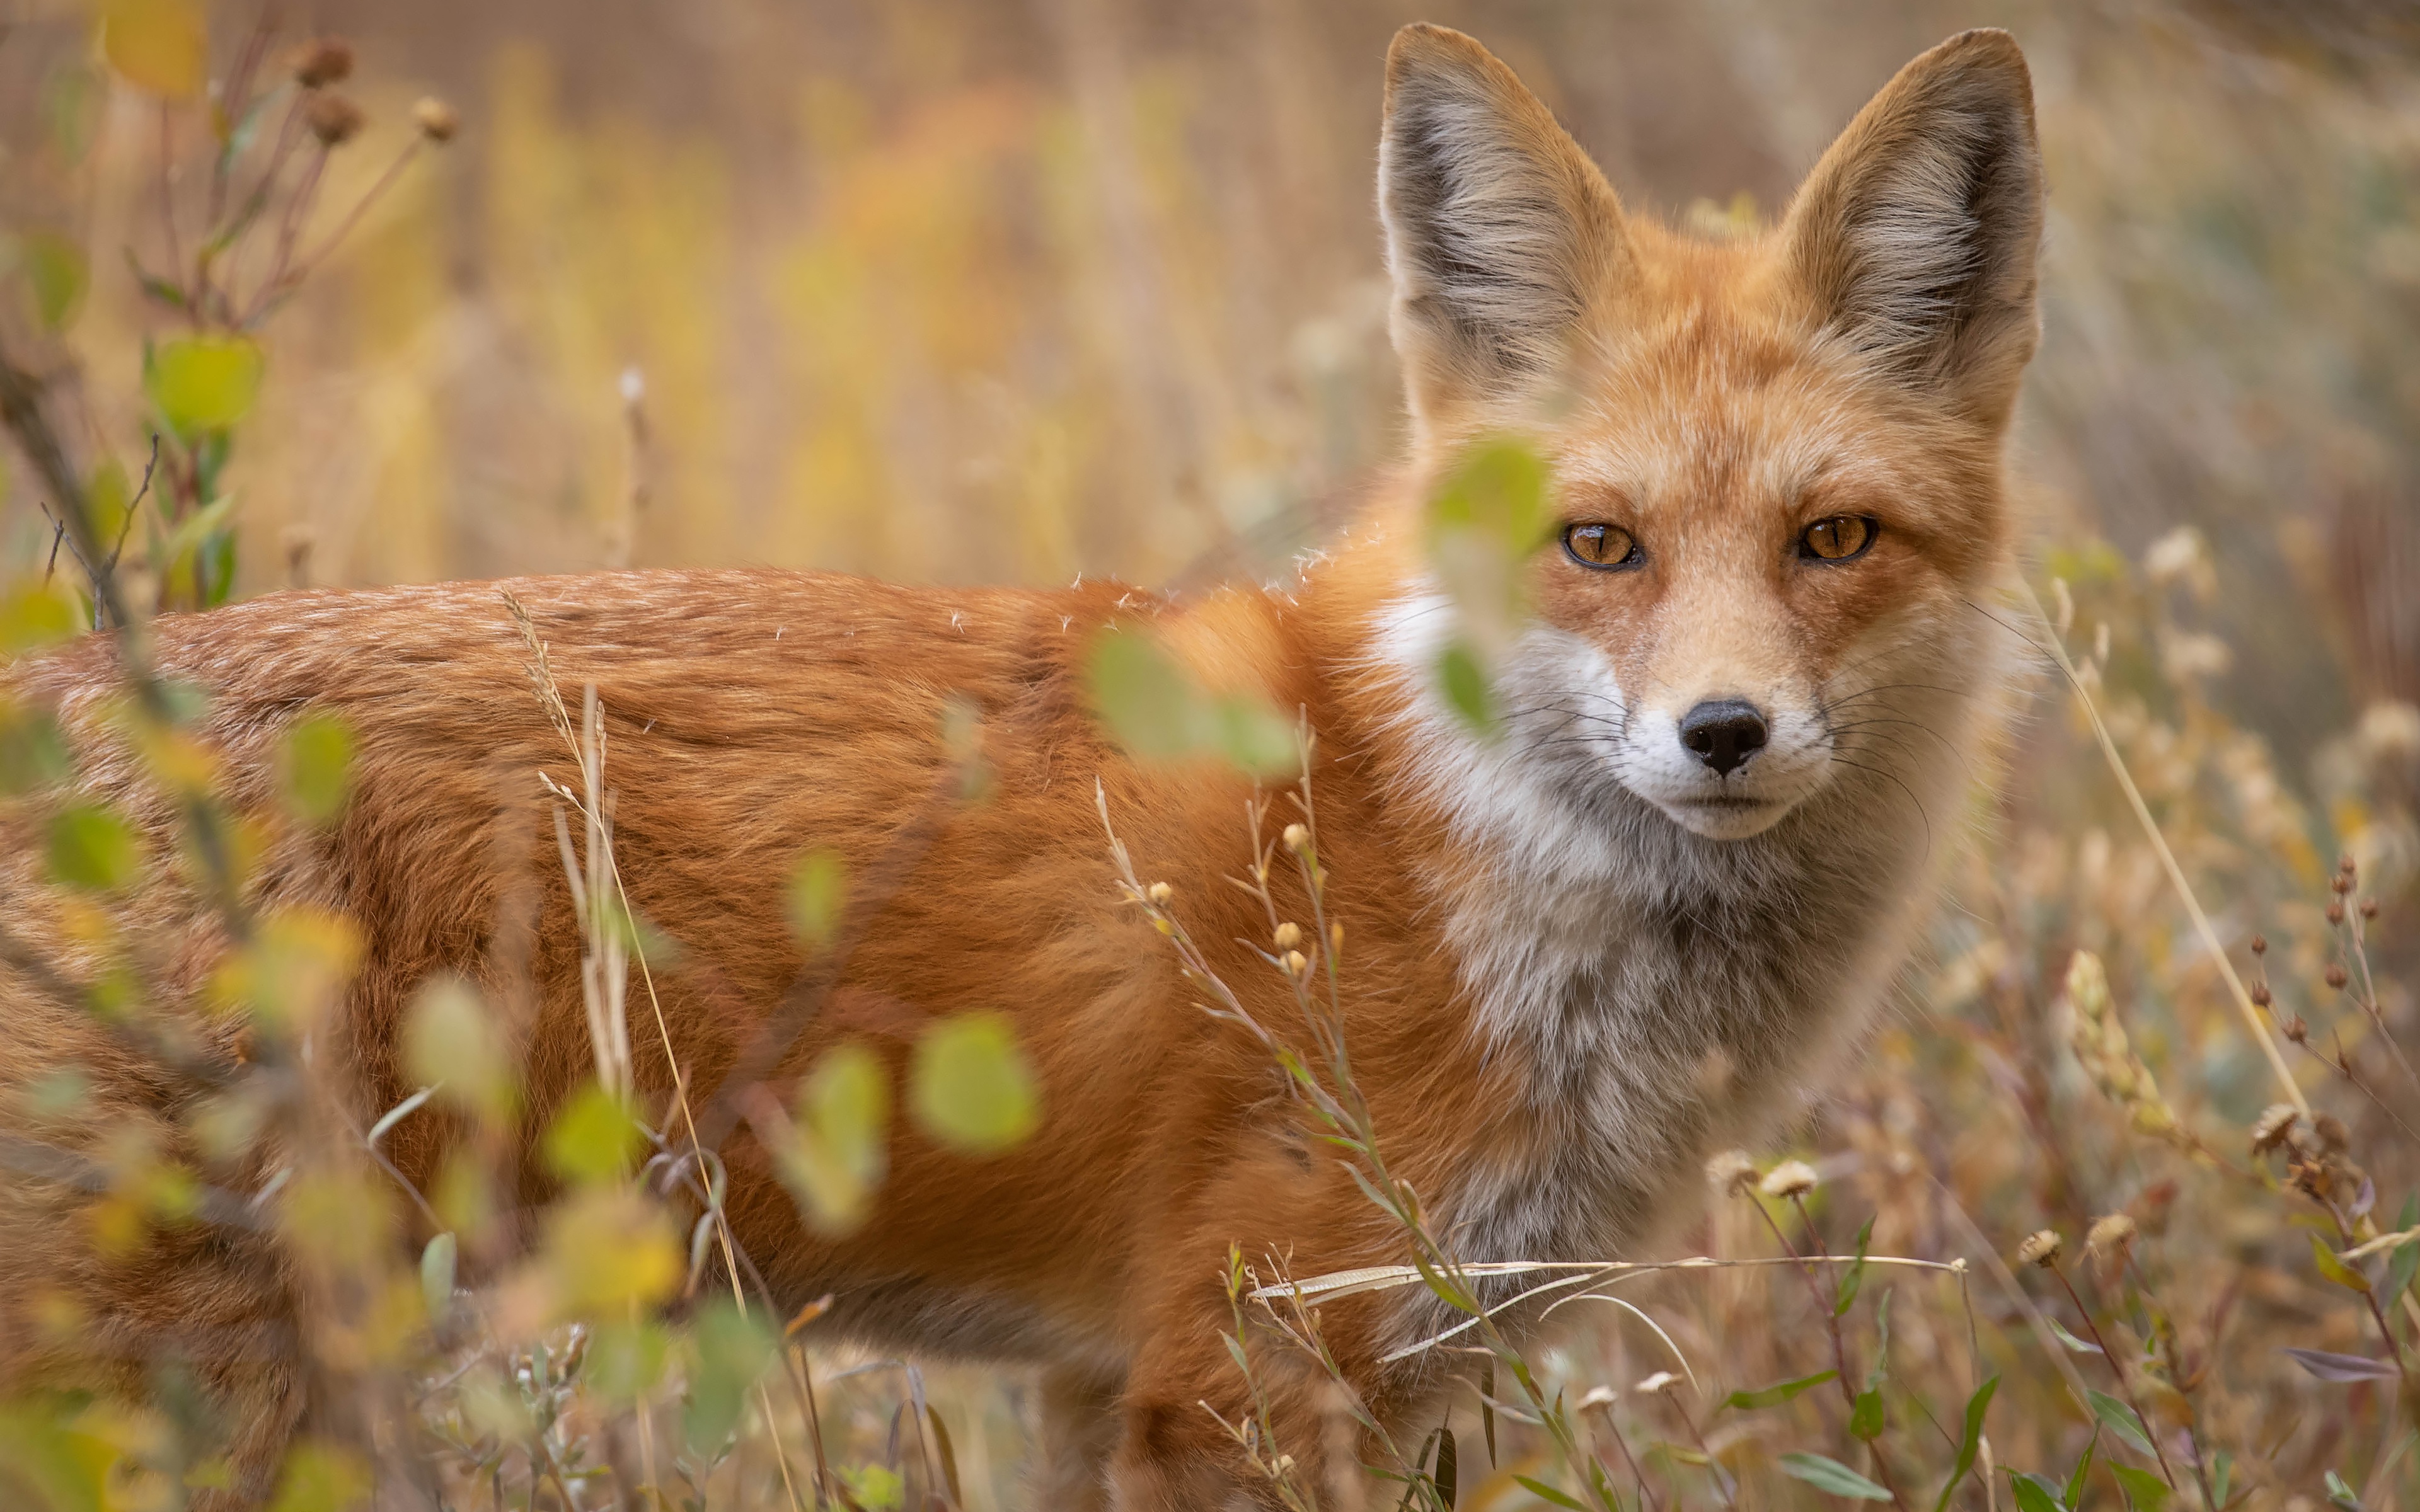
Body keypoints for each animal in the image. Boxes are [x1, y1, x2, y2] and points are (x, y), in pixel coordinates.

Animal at [4, 23, 2042, 1509]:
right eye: (1599, 544)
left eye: (1832, 540)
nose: (1723, 732)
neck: (1430, 835)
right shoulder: (1244, 1368)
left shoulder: (1109, 1378)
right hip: (202, 1383)